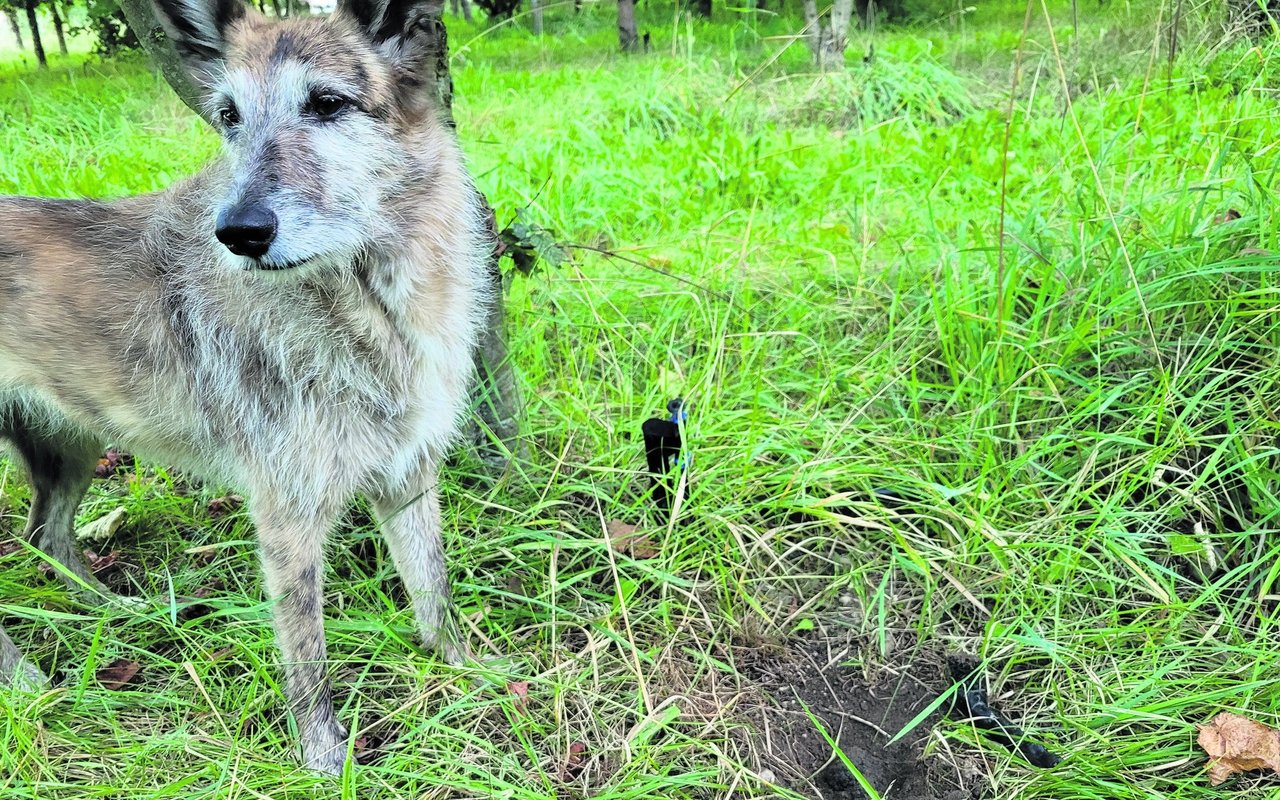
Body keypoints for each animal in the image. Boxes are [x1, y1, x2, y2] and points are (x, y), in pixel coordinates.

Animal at [0, 0, 486, 773]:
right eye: (228, 116)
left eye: (327, 104)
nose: (239, 232)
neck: (367, 308)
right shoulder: (286, 516)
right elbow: (306, 654)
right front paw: (323, 761)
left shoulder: (408, 476)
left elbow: (432, 591)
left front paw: (469, 676)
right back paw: (23, 681)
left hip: (68, 448)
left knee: (45, 536)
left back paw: (117, 611)